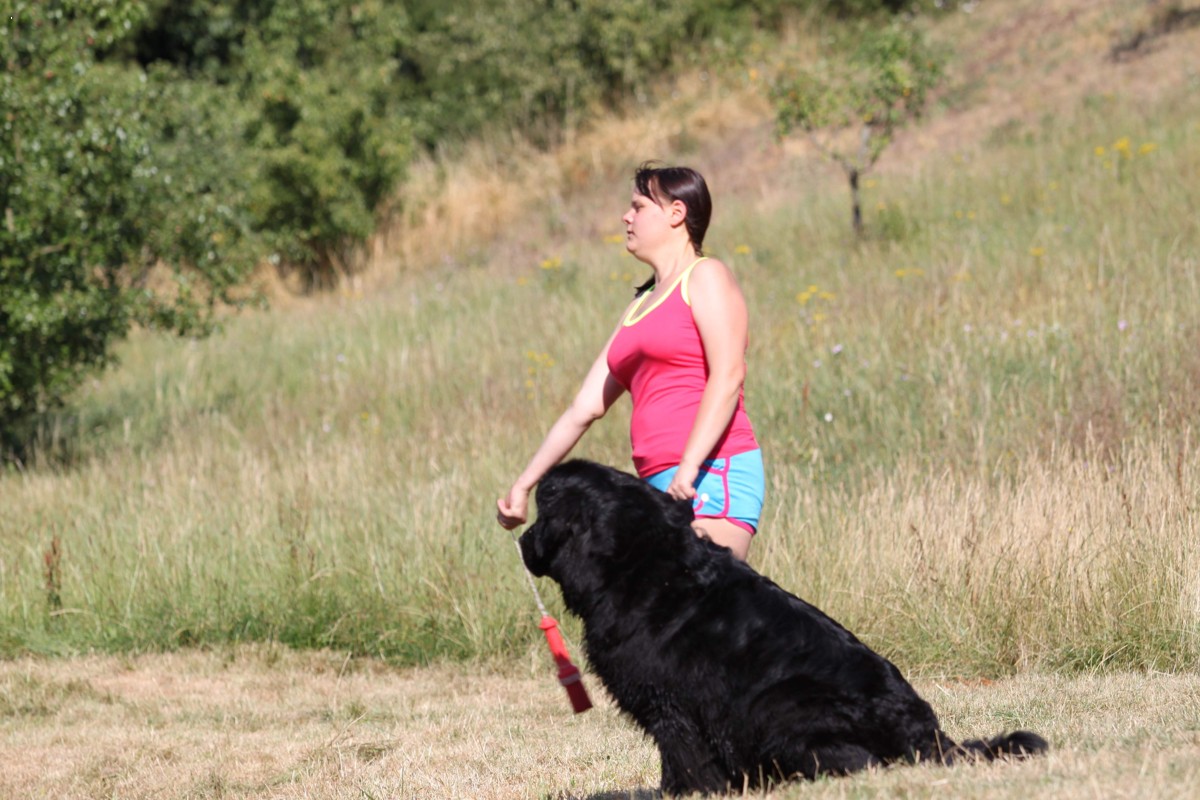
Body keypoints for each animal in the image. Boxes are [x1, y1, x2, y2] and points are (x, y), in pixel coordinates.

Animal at [519, 459, 1048, 796]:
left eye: (540, 511)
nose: (521, 538)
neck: (641, 560)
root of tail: (928, 735)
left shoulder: (671, 706)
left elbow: (682, 757)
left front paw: (683, 793)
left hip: (779, 704)